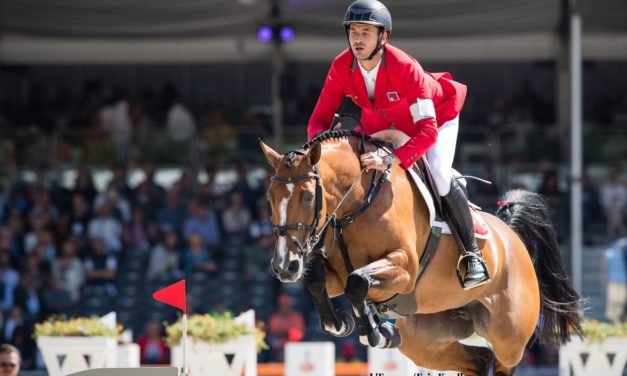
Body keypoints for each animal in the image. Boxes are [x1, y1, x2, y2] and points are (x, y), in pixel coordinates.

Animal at [260, 130, 584, 376]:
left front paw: (375, 332)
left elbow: (358, 282)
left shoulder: (403, 270)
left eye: (308, 196)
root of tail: (512, 237)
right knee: (478, 361)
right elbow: (317, 277)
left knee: (502, 360)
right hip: (424, 340)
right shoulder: (336, 273)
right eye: (269, 197)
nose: (284, 266)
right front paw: (339, 324)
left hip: (509, 336)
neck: (357, 206)